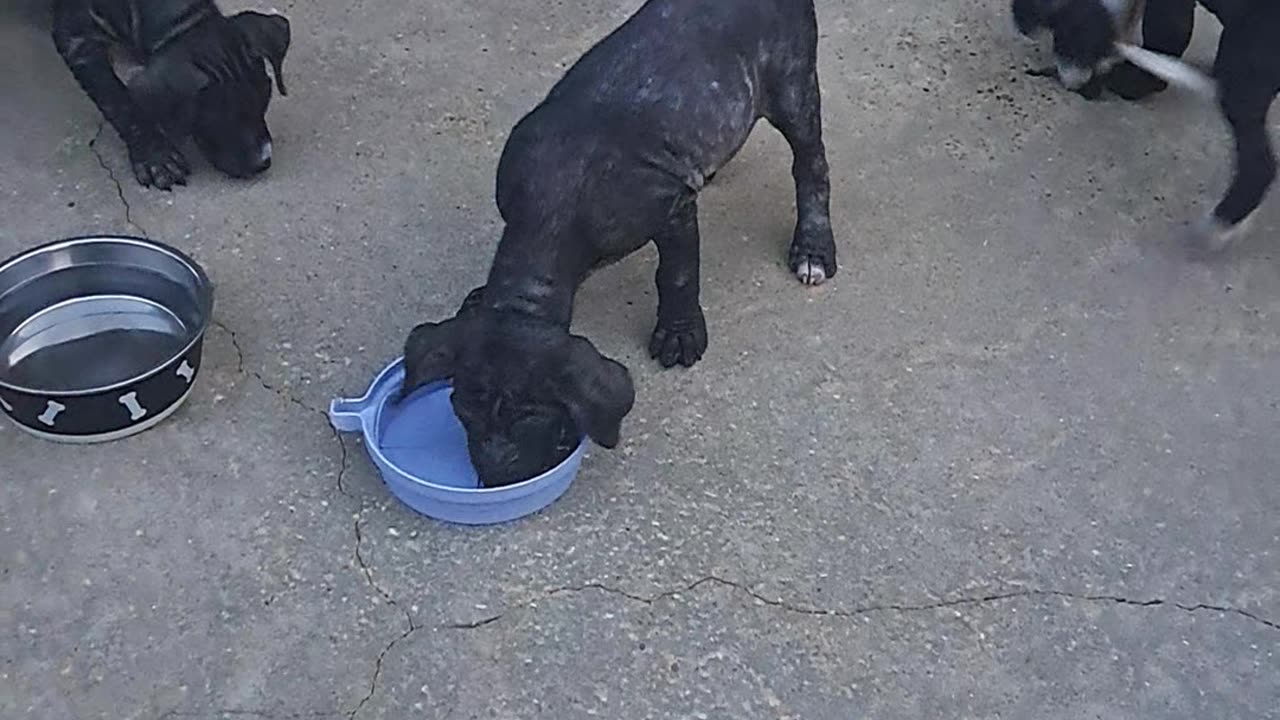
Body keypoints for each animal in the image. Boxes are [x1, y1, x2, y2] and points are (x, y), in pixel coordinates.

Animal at [52, 0, 290, 188]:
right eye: (215, 116)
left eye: (266, 96)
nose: (263, 162)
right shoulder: (78, 41)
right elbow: (117, 99)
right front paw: (156, 157)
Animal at [401, 0, 839, 486]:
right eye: (463, 408)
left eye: (531, 415)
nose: (494, 475)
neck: (552, 210)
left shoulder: (670, 207)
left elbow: (677, 274)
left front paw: (679, 332)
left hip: (793, 89)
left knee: (811, 165)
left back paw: (814, 247)